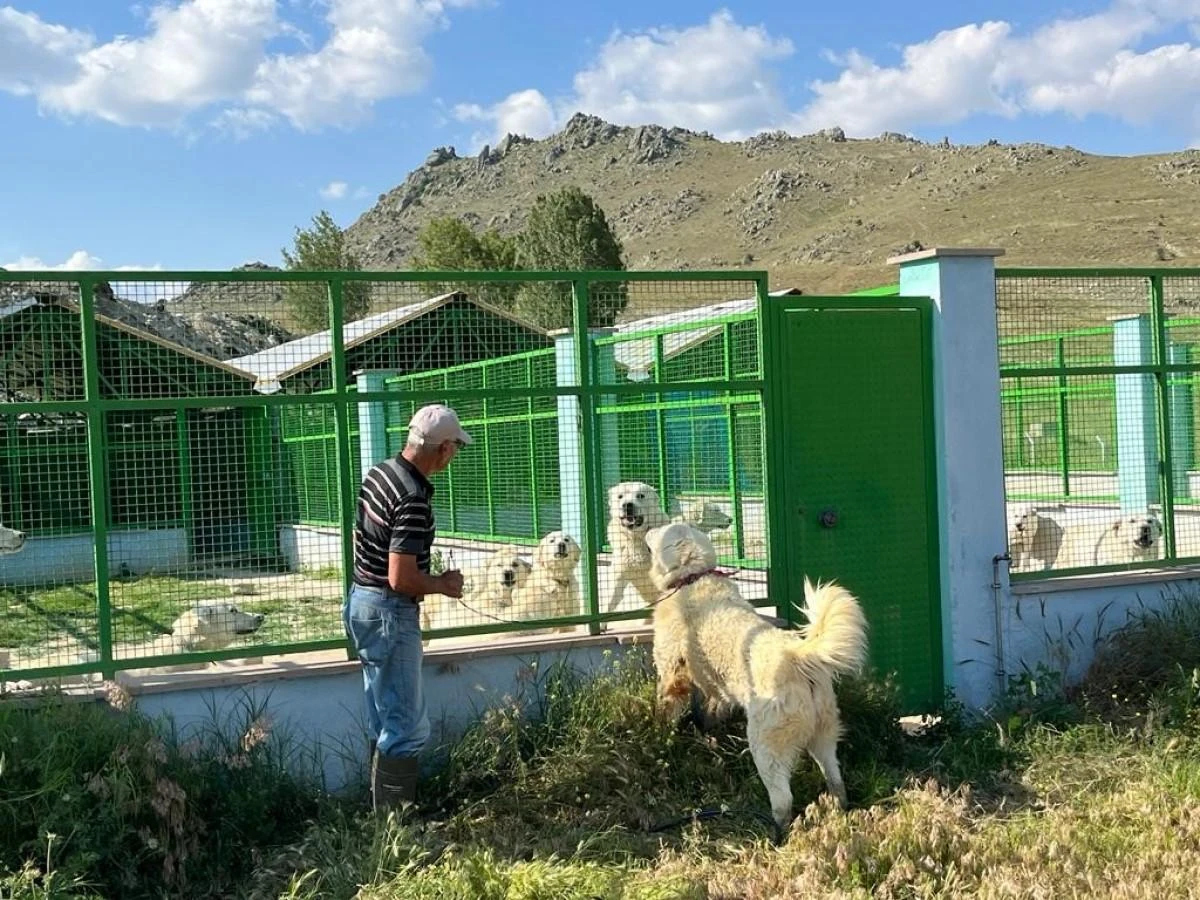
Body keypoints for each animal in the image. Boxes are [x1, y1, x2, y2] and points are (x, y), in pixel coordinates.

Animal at [604, 482, 672, 619]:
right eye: (620, 496)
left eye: (640, 495)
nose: (627, 505)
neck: (636, 538)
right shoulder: (621, 570)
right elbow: (610, 600)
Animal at [643, 520, 868, 830]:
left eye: (664, 529)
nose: (647, 527)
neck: (693, 577)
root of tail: (800, 655)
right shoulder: (717, 691)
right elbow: (710, 711)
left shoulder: (672, 675)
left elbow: (666, 710)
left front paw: (660, 737)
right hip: (823, 736)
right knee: (835, 780)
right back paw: (838, 810)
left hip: (766, 745)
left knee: (783, 798)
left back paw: (776, 830)